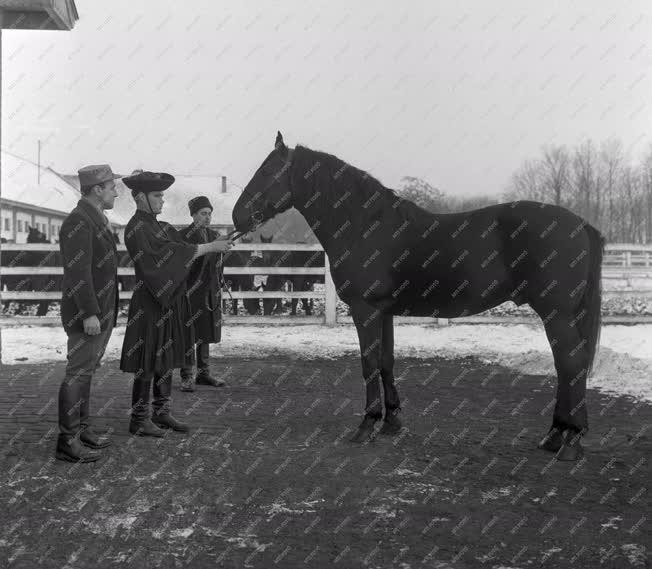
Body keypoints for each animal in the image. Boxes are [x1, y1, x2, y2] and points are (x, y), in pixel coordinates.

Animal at [232, 133, 604, 462]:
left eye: (268, 171)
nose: (237, 216)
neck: (365, 225)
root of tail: (580, 223)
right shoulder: (384, 311)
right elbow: (386, 362)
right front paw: (391, 422)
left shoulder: (365, 310)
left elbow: (368, 363)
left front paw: (366, 426)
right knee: (568, 367)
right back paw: (555, 436)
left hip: (557, 314)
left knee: (570, 365)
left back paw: (570, 441)